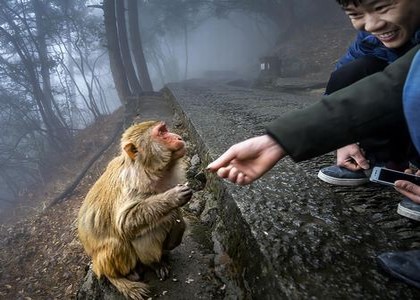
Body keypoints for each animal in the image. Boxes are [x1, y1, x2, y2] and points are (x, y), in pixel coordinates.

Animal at [77, 120, 192, 298]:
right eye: (161, 133)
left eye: (165, 129)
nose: (178, 137)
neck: (149, 170)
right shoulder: (132, 184)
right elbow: (125, 222)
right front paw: (172, 198)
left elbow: (176, 218)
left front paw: (179, 225)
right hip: (104, 261)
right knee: (123, 241)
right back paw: (135, 272)